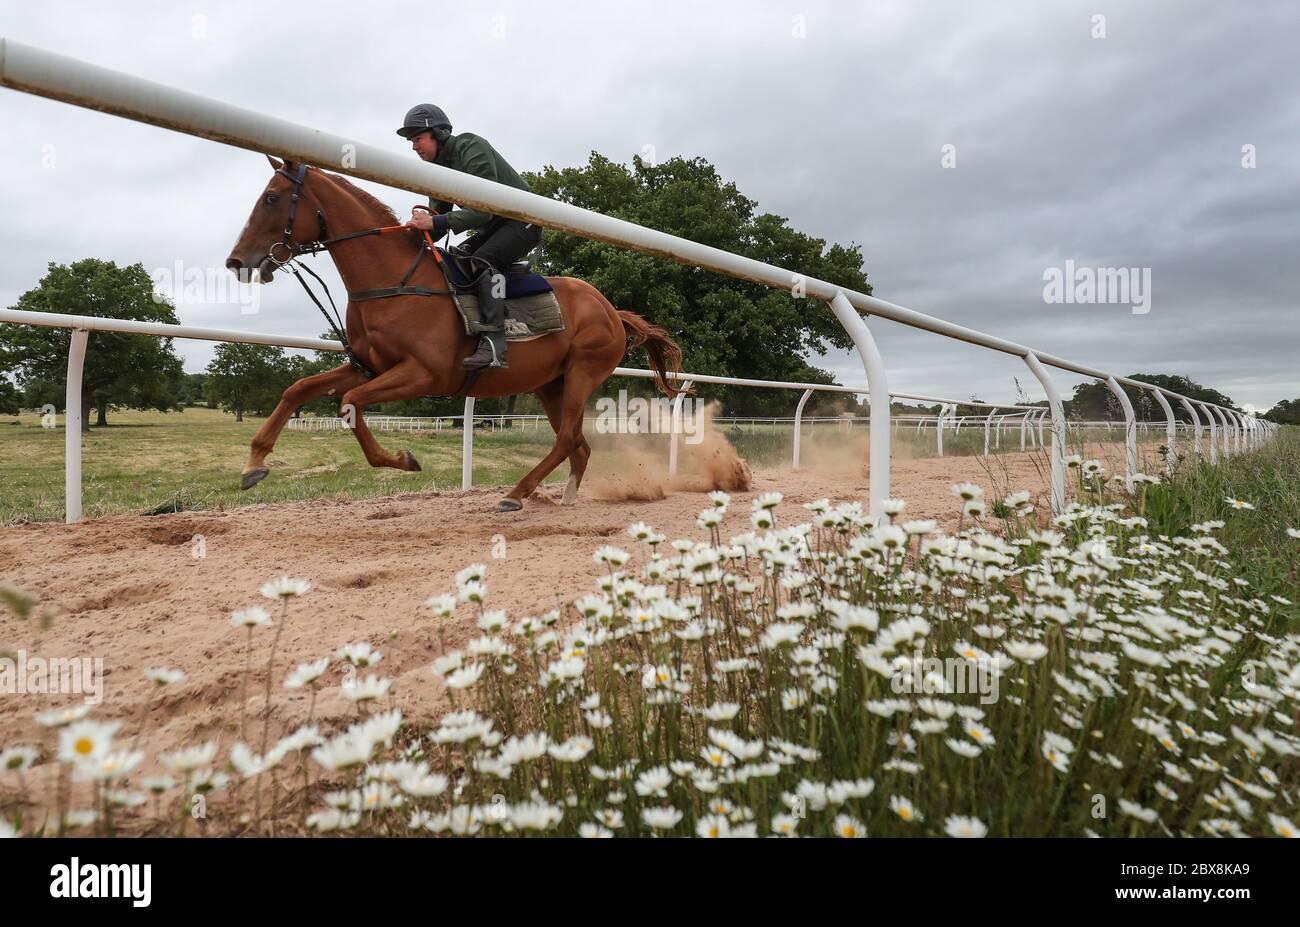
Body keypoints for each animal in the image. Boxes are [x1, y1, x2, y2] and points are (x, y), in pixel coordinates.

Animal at [225, 157, 684, 512]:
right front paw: (253, 464)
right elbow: (298, 389)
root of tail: (610, 309)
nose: (236, 262)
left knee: (568, 438)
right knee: (577, 443)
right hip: (551, 383)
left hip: (582, 373)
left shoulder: (424, 374)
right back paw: (563, 495)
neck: (395, 282)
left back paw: (515, 493)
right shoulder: (368, 366)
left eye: (271, 198)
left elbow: (350, 403)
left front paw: (403, 458)